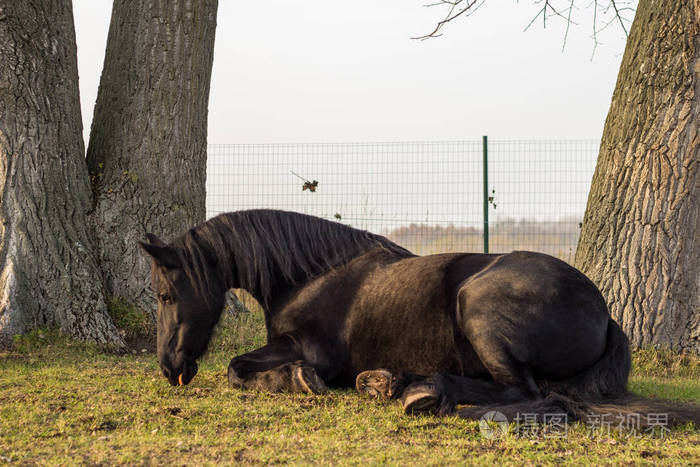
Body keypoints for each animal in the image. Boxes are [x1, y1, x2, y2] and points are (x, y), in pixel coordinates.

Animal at [138, 209, 694, 423]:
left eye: (165, 295)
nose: (169, 369)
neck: (310, 275)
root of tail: (604, 313)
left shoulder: (310, 349)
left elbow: (237, 368)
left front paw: (298, 381)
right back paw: (391, 383)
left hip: (477, 308)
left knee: (523, 393)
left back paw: (424, 393)